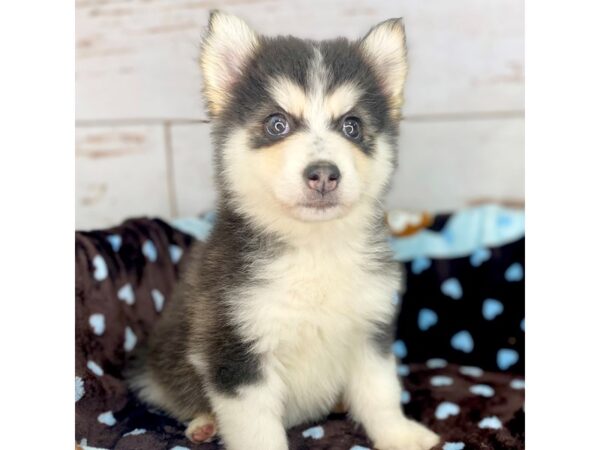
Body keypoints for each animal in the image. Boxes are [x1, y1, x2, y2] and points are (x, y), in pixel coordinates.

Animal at [130, 10, 440, 450]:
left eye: (351, 126)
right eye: (277, 124)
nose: (324, 174)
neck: (314, 249)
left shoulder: (369, 333)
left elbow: (381, 394)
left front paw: (400, 435)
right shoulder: (237, 353)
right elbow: (257, 429)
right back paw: (204, 423)